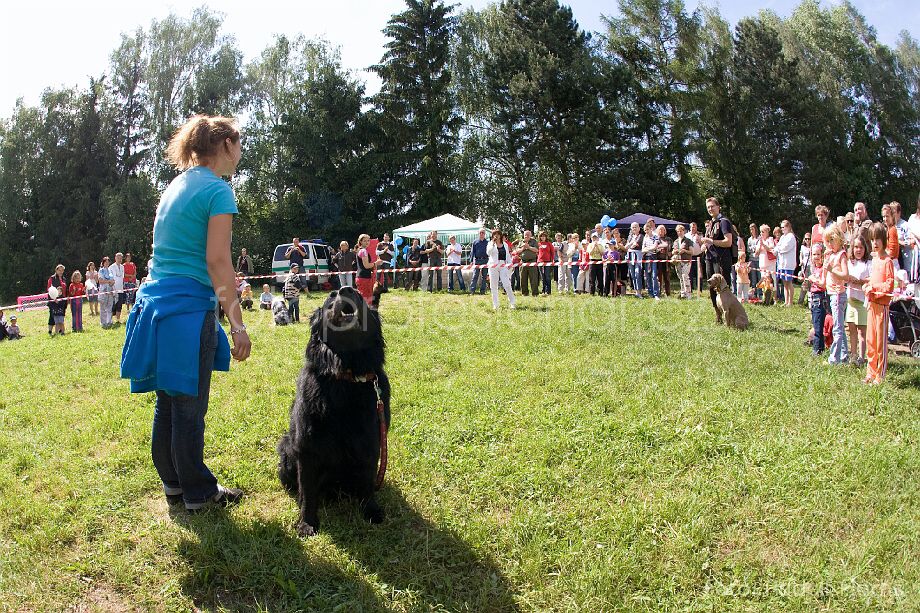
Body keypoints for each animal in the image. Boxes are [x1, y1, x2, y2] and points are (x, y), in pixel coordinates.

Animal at [274, 284, 388, 532]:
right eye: (331, 297)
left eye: (359, 294)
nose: (347, 289)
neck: (345, 375)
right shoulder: (307, 448)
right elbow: (308, 492)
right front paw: (307, 523)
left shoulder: (370, 442)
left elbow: (368, 483)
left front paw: (371, 511)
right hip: (286, 446)